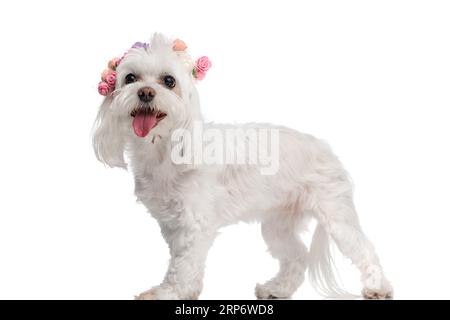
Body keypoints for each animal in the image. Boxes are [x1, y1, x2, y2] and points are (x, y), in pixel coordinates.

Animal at [92, 33, 394, 298]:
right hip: (278, 225)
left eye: (169, 81)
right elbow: (183, 261)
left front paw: (170, 293)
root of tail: (326, 148)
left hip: (335, 216)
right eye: (130, 78)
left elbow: (183, 265)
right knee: (297, 257)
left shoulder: (194, 225)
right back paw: (277, 289)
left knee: (364, 248)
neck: (164, 147)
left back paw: (377, 287)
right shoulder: (173, 226)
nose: (145, 93)